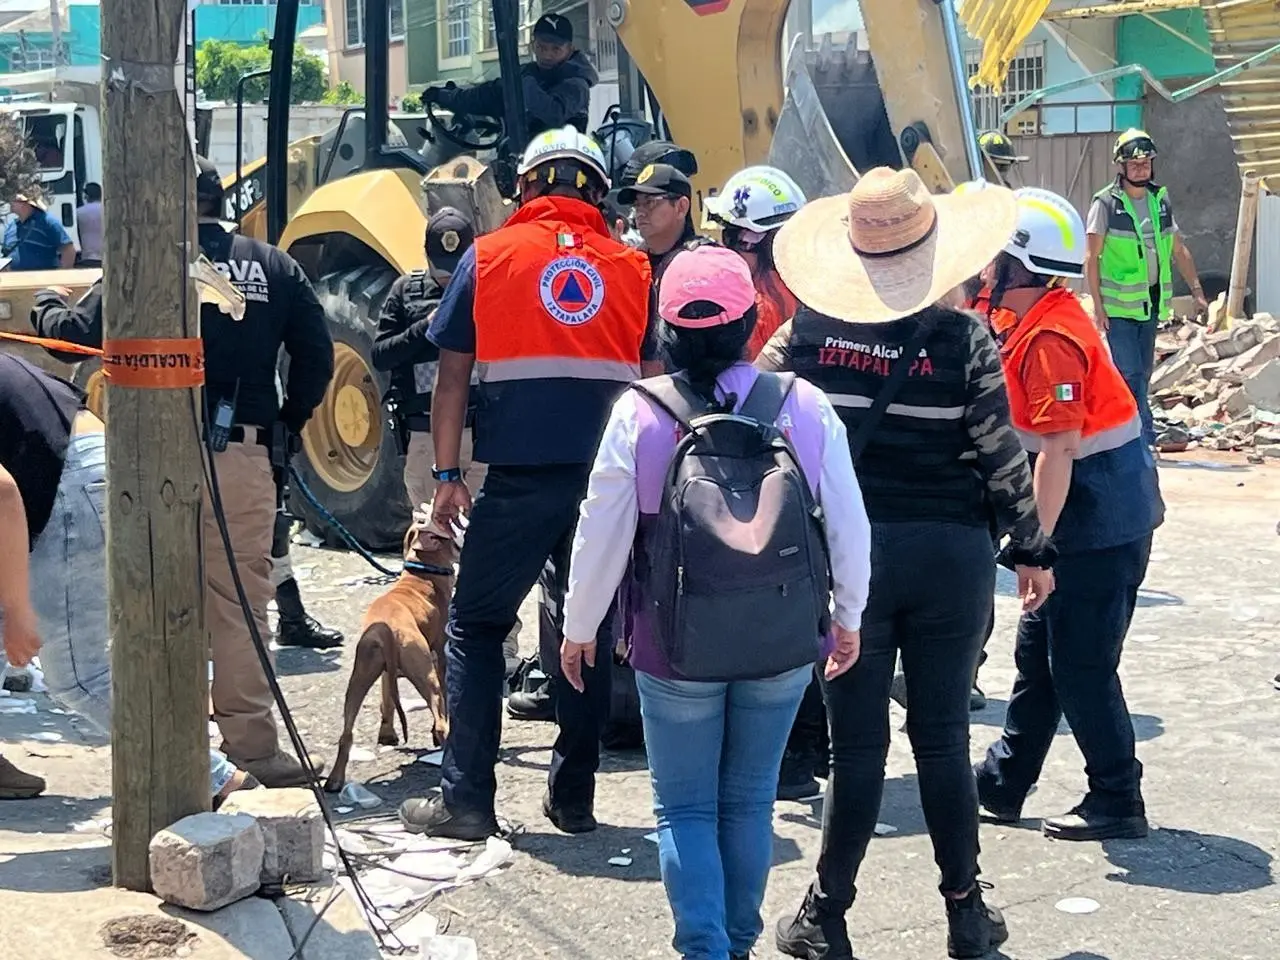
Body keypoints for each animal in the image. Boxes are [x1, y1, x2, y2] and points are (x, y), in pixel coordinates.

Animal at [325, 514, 460, 793]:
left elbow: (387, 699)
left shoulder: (386, 674)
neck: (422, 573)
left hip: (359, 678)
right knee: (441, 722)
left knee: (346, 734)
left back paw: (335, 780)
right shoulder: (441, 660)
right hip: (427, 676)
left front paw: (387, 734)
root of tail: (387, 629)